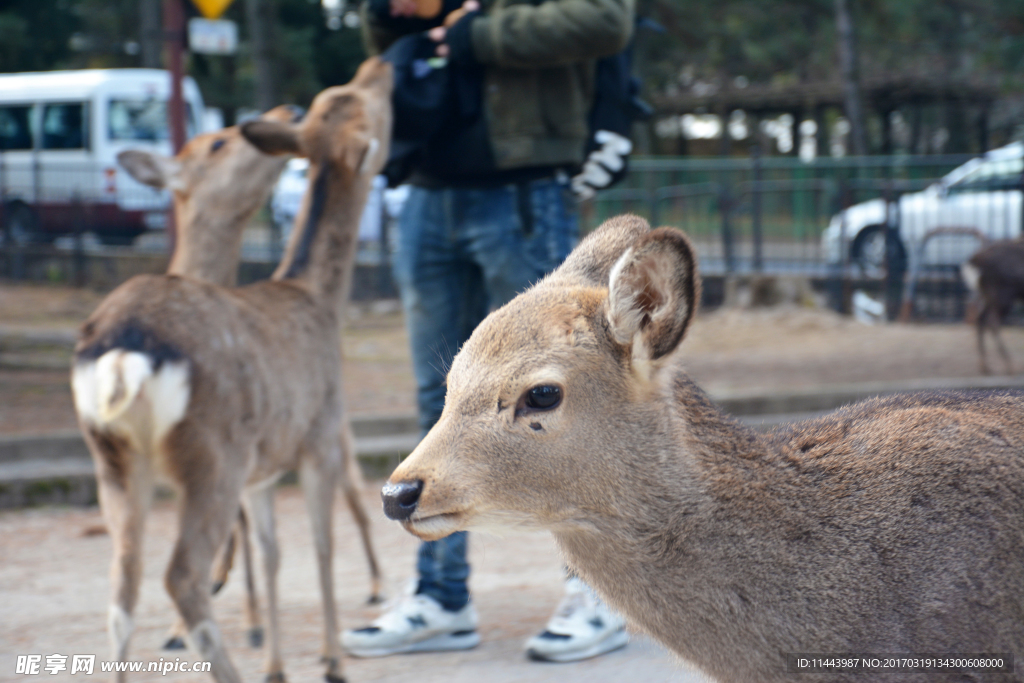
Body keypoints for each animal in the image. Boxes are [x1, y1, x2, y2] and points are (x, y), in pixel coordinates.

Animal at [69, 58, 395, 683]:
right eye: (365, 105)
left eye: (332, 98)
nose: (380, 64)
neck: (319, 300)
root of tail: (121, 353)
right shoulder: (317, 437)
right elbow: (321, 544)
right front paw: (330, 661)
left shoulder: (262, 471)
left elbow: (272, 554)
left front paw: (278, 664)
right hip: (212, 453)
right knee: (181, 576)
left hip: (114, 460)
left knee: (121, 589)